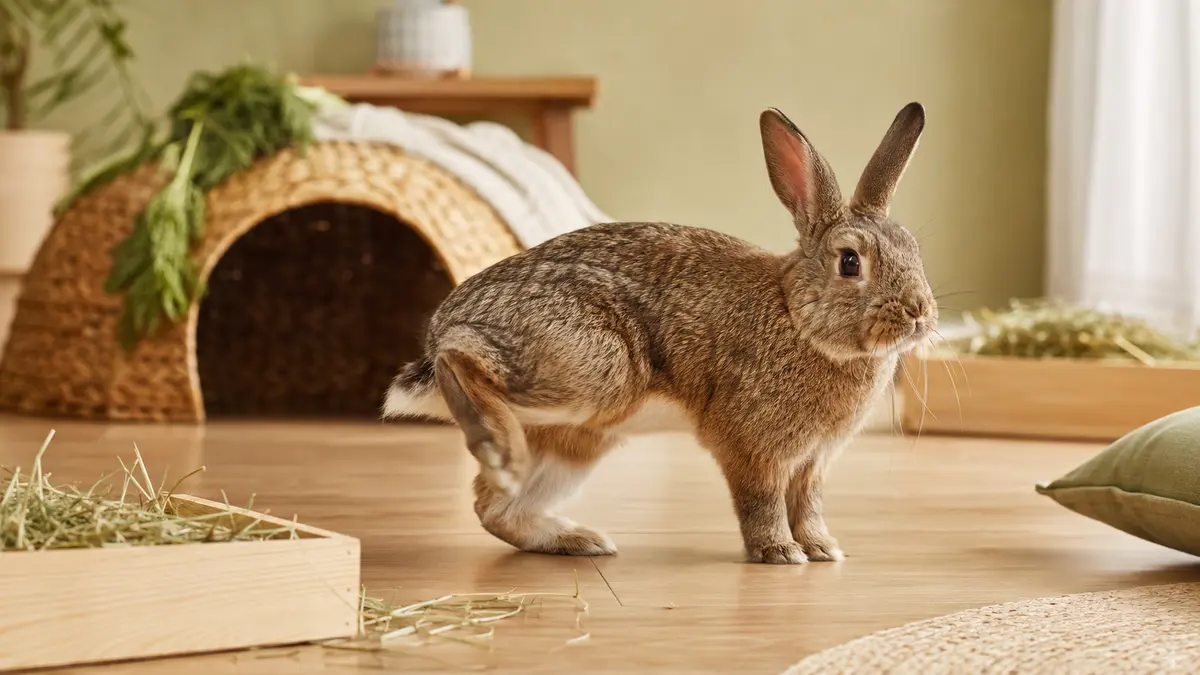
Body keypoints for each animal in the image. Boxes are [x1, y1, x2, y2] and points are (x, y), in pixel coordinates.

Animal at [382, 102, 936, 564]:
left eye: (914, 248)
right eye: (850, 262)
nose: (920, 313)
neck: (797, 317)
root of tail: (446, 323)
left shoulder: (812, 463)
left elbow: (809, 505)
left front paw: (823, 549)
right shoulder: (754, 448)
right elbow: (761, 501)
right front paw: (779, 552)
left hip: (577, 437)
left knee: (493, 508)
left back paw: (578, 538)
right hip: (597, 368)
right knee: (462, 359)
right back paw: (498, 447)